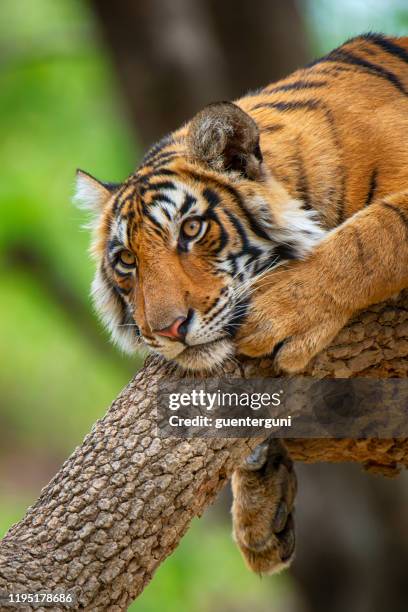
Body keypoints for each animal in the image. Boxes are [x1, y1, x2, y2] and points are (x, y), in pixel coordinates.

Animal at [75, 35, 408, 576]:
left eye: (191, 229)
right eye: (126, 260)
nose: (167, 330)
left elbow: (375, 234)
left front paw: (279, 312)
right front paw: (258, 518)